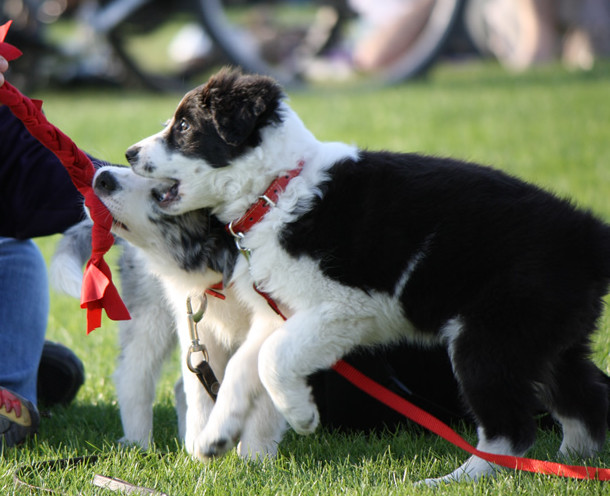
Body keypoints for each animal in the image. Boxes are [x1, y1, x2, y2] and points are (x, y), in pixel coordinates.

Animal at [122, 68, 608, 482]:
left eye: (185, 126)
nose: (129, 152)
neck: (274, 191)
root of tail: (590, 235)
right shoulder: (283, 311)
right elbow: (246, 364)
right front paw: (215, 438)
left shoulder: (343, 307)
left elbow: (271, 358)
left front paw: (301, 415)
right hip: (547, 338)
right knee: (583, 399)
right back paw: (571, 465)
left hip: (490, 338)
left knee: (511, 428)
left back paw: (460, 477)